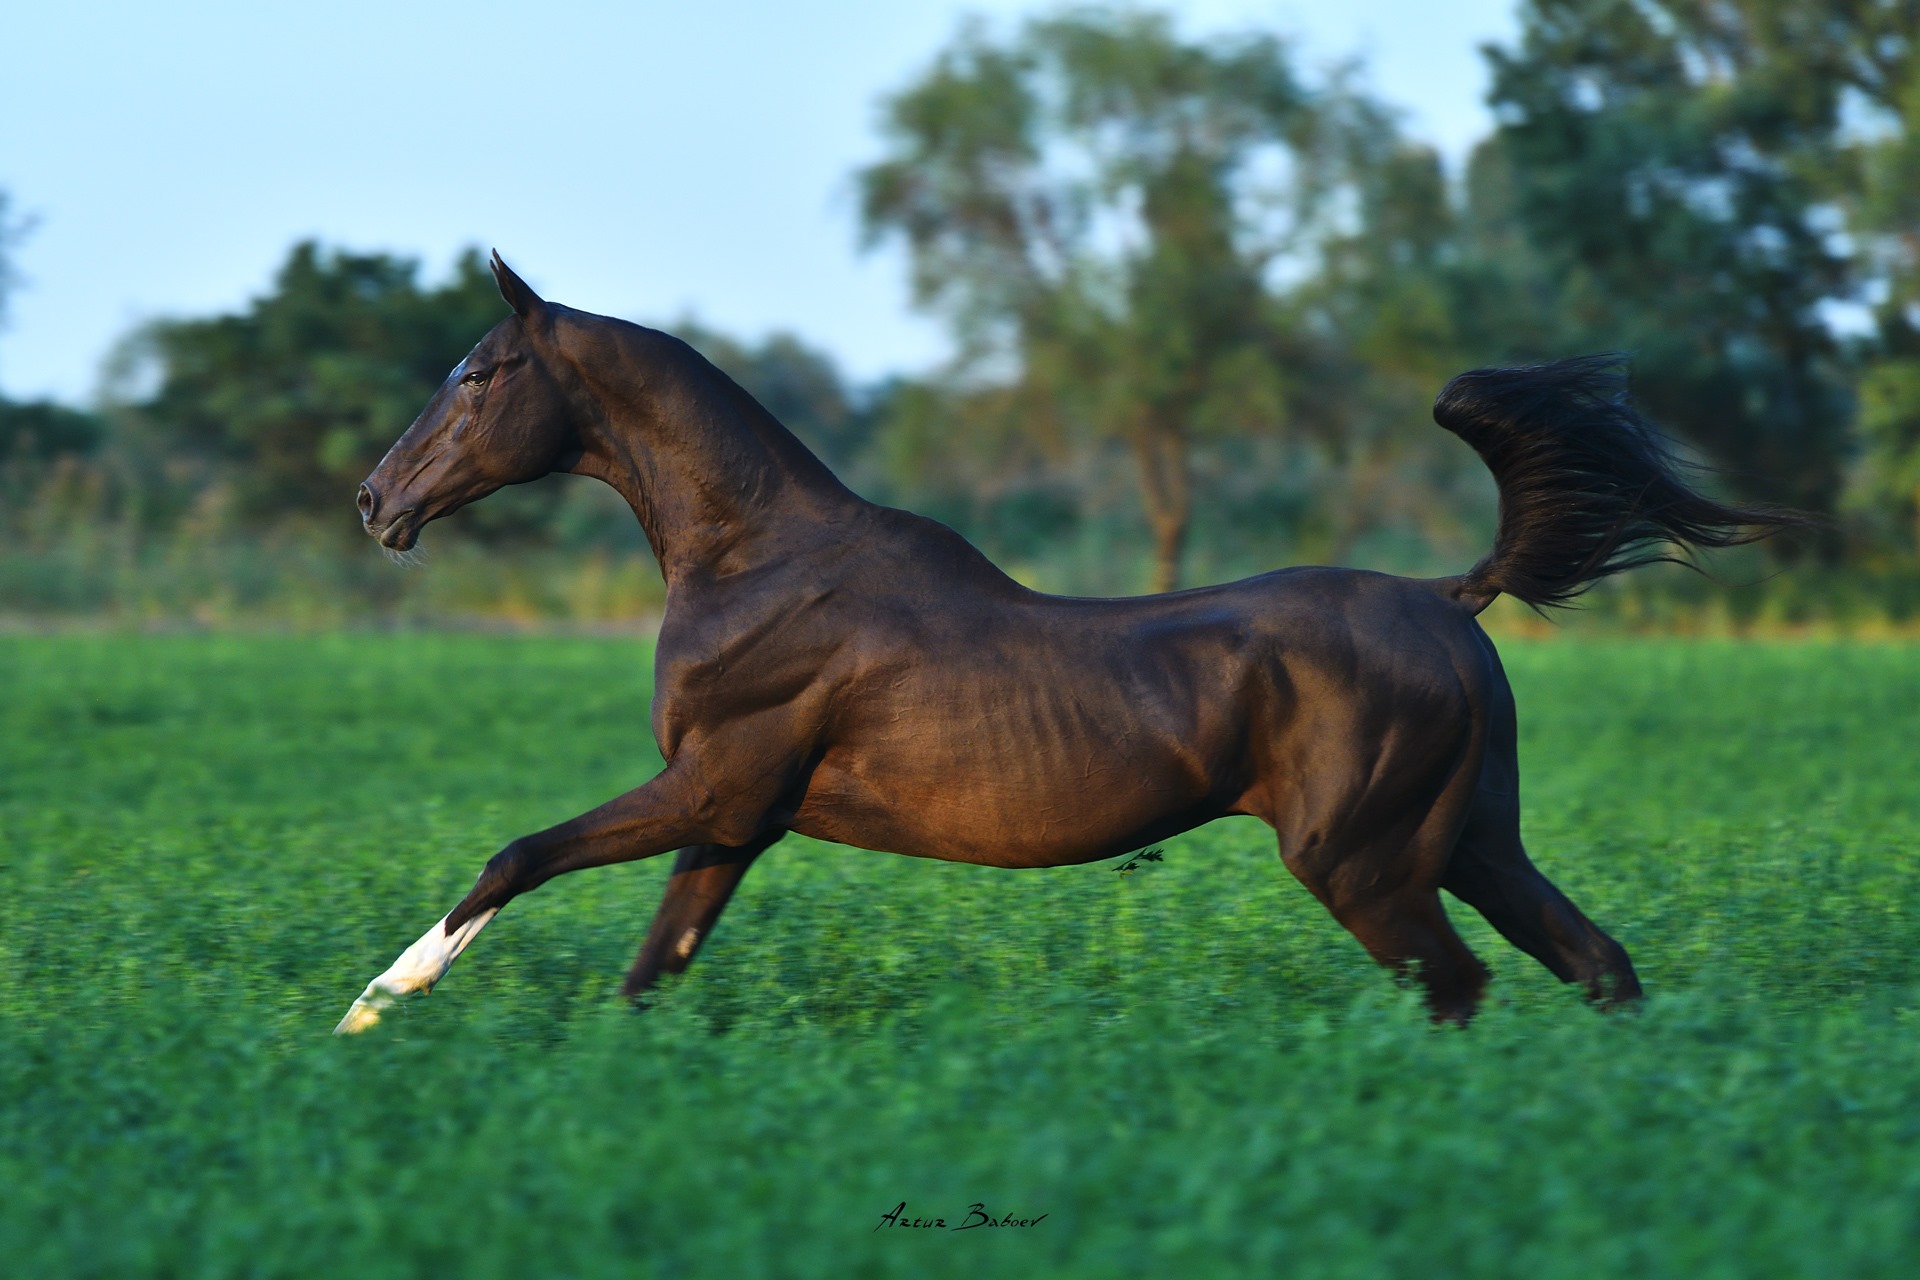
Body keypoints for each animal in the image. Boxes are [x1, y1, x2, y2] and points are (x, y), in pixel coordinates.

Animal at [330, 247, 1781, 1028]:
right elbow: (650, 973)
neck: (756, 561)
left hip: (1362, 863)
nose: (375, 502)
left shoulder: (712, 785)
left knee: (1462, 987)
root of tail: (1449, 597)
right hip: (1473, 840)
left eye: (476, 374)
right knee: (1598, 966)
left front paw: (373, 1003)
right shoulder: (733, 820)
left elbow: (515, 856)